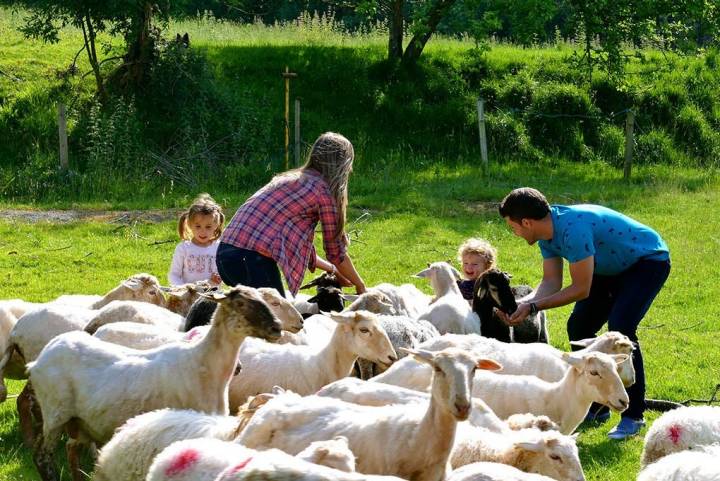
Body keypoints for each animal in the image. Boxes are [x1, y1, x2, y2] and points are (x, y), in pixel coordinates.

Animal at [27, 284, 284, 480]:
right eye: (240, 303)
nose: (277, 328)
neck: (204, 365)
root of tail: (41, 358)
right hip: (55, 413)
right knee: (41, 455)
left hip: (78, 421)